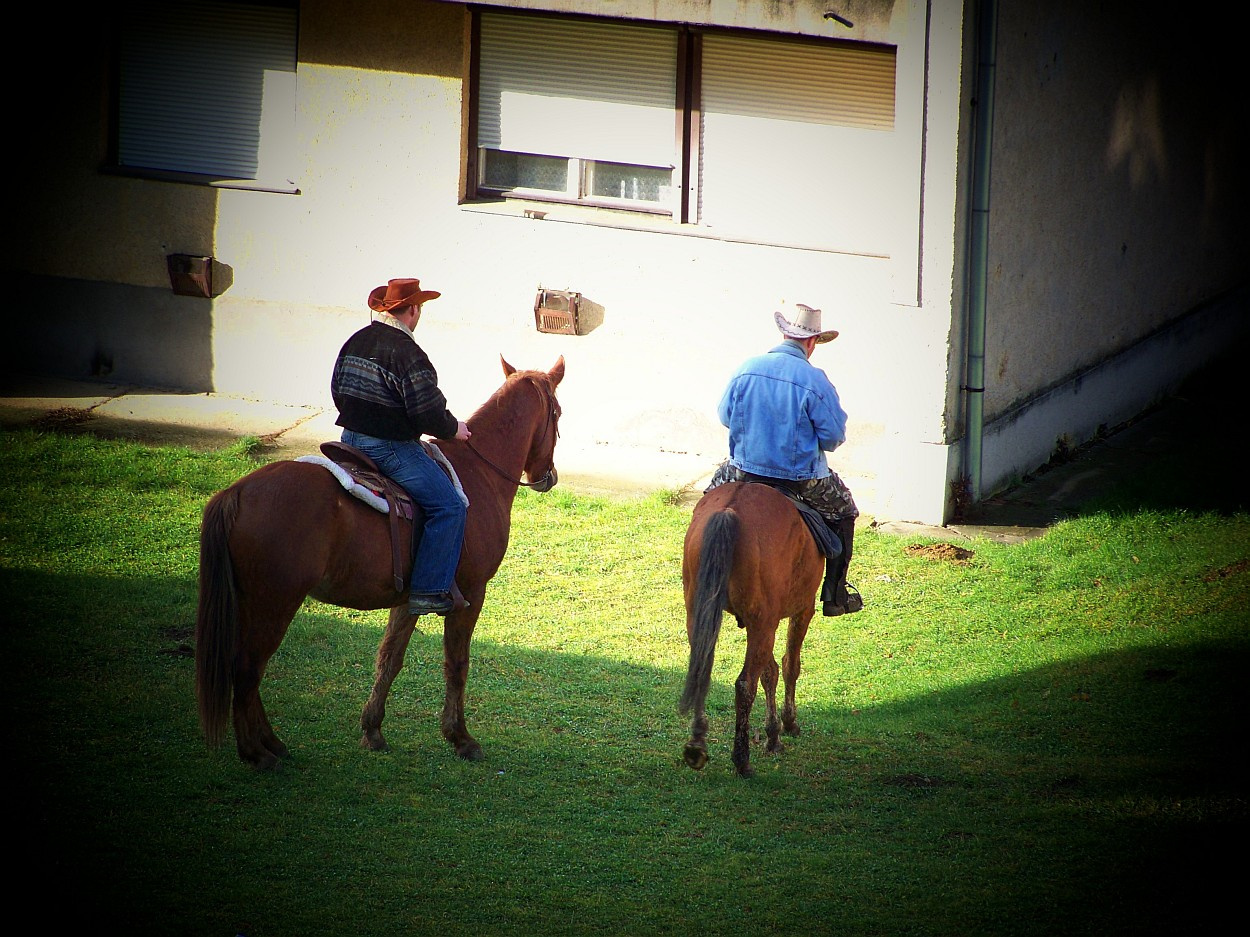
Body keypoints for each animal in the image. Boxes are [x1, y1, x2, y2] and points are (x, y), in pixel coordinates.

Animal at [195, 354, 567, 764]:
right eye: (558, 413)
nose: (548, 476)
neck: (480, 473)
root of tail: (236, 492)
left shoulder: (411, 598)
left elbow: (389, 658)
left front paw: (372, 729)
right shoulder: (472, 592)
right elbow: (456, 664)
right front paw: (460, 737)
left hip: (251, 602)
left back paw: (271, 744)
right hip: (274, 602)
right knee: (247, 668)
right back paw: (256, 752)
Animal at [675, 484, 830, 779]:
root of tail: (729, 510)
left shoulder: (767, 621)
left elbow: (770, 671)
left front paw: (773, 734)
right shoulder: (801, 609)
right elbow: (789, 665)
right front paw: (787, 724)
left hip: (702, 612)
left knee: (702, 668)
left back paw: (696, 746)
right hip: (764, 622)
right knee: (746, 684)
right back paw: (742, 759)